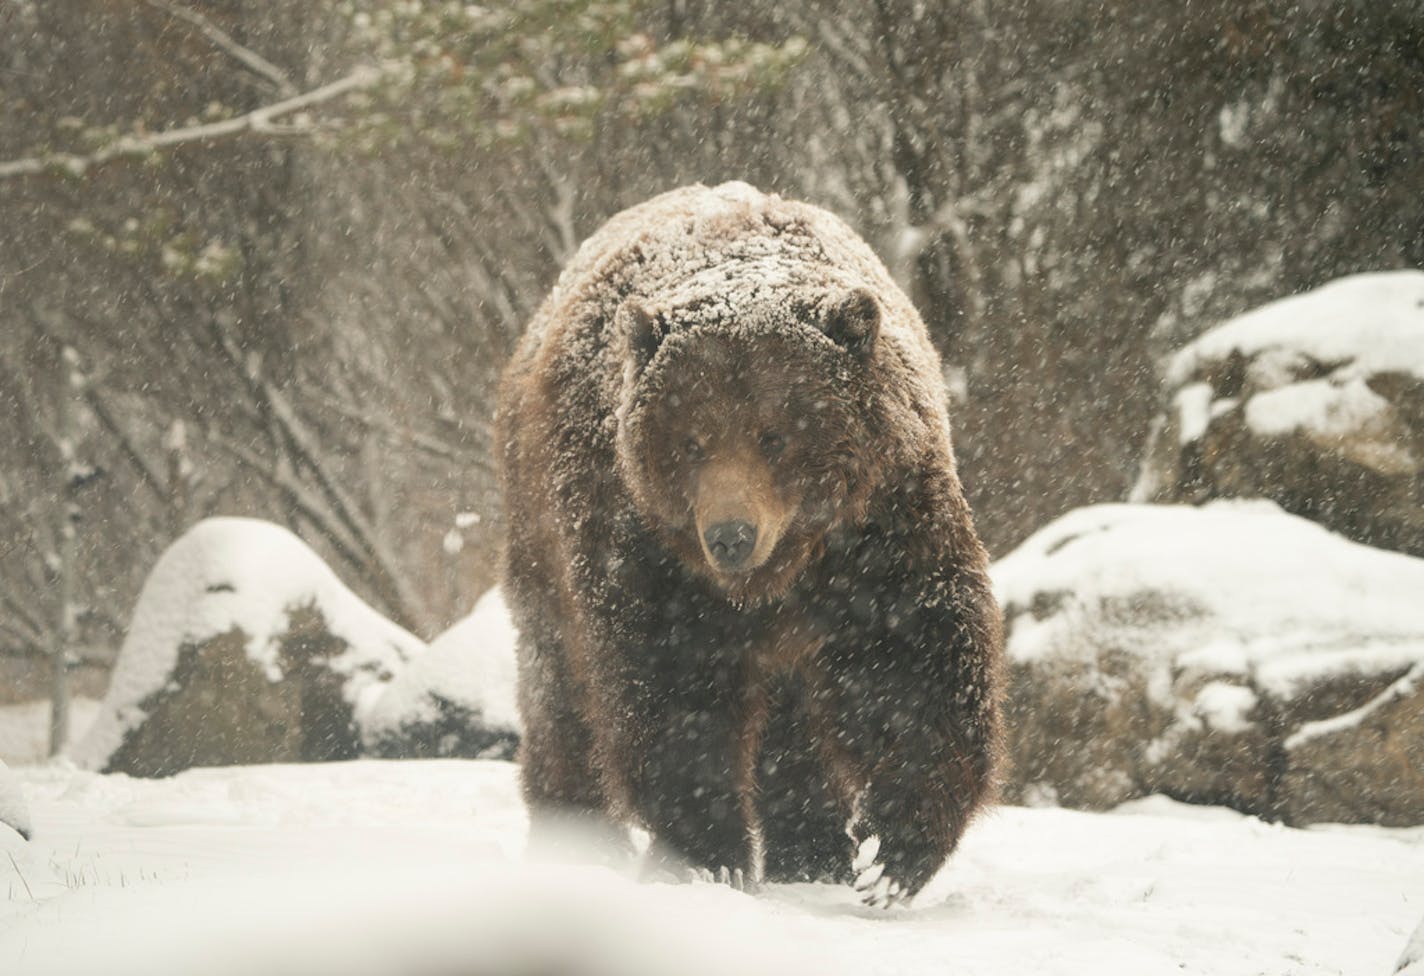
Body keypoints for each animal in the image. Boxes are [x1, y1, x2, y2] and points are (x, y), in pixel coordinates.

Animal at [495, 178, 1008, 900]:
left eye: (775, 433)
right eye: (692, 440)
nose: (730, 536)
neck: (780, 570)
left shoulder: (880, 525)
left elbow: (911, 663)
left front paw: (888, 854)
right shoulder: (644, 545)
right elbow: (674, 694)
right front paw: (711, 854)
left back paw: (813, 854)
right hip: (539, 535)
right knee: (561, 694)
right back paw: (580, 843)